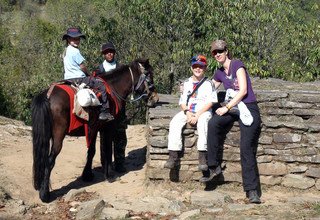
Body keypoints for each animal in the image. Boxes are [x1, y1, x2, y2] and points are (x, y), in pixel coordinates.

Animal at [31, 57, 159, 202]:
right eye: (149, 75)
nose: (155, 98)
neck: (113, 88)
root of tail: (47, 95)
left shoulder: (94, 128)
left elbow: (92, 151)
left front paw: (87, 175)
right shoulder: (108, 128)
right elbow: (107, 150)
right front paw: (109, 175)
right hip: (58, 136)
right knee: (49, 160)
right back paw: (45, 194)